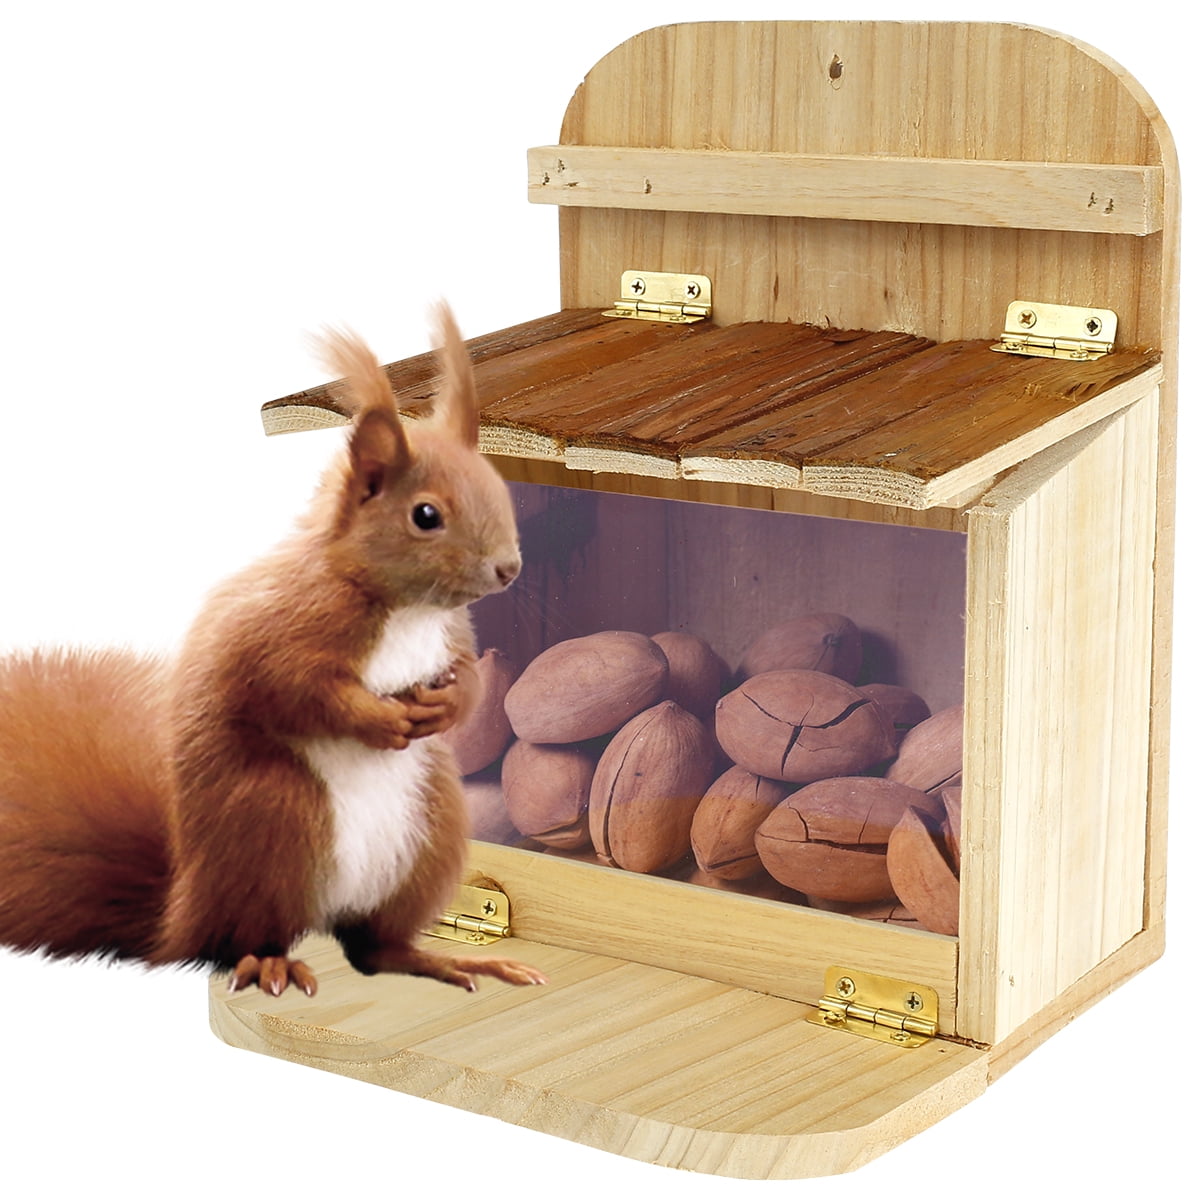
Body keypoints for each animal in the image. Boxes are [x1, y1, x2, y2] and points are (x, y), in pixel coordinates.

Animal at [0, 306, 546, 998]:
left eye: (499, 487)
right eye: (426, 515)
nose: (508, 569)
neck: (403, 607)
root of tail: (179, 913)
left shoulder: (452, 635)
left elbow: (472, 683)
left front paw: (445, 708)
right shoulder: (286, 630)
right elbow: (295, 691)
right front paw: (380, 719)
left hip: (431, 835)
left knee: (376, 948)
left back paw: (450, 961)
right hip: (277, 823)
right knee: (247, 938)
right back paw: (272, 963)